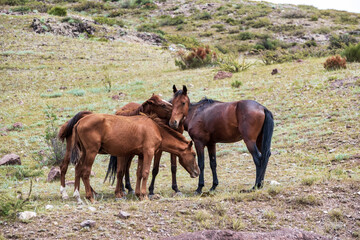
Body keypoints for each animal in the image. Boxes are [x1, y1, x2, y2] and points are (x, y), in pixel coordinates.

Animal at [69, 113, 200, 202]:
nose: (197, 172)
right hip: (91, 152)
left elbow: (139, 174)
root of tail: (79, 122)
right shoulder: (148, 153)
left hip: (84, 153)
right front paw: (145, 195)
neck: (156, 129)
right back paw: (90, 197)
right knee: (85, 172)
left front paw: (138, 194)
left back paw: (77, 195)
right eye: (194, 154)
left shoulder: (141, 155)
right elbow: (145, 173)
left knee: (78, 169)